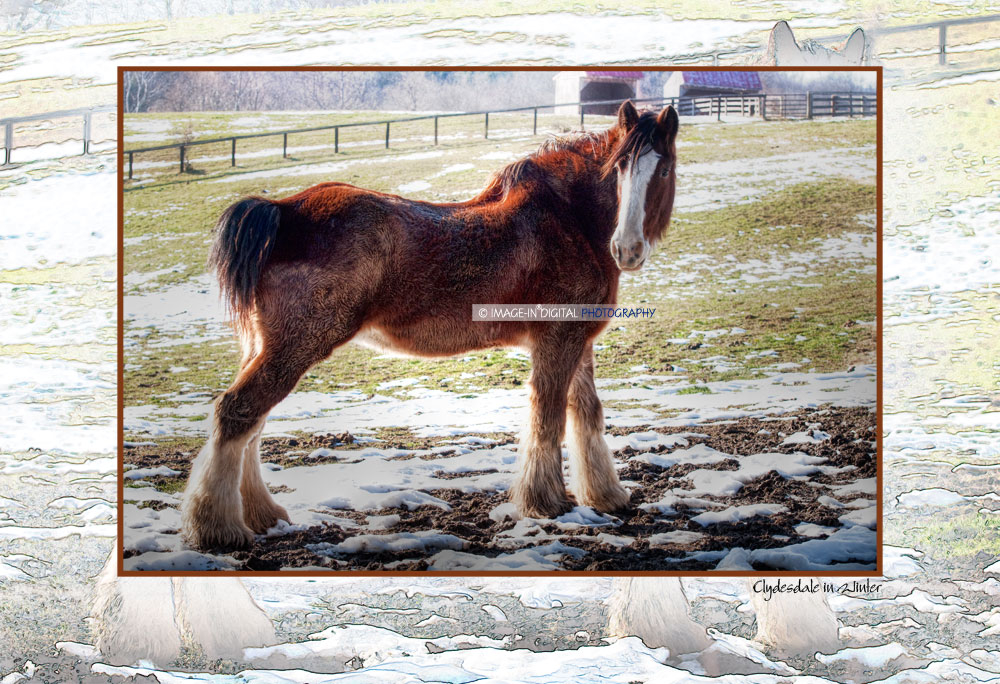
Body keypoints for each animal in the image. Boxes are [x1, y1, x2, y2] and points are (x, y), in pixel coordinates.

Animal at [180, 100, 680, 552]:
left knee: (252, 425)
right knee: (237, 412)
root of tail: (280, 210)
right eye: (619, 168)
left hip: (267, 347)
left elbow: (587, 414)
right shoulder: (557, 341)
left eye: (663, 169)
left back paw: (262, 516)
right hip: (296, 347)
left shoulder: (577, 341)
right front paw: (546, 503)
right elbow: (548, 417)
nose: (627, 249)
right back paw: (217, 529)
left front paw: (607, 496)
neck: (569, 219)